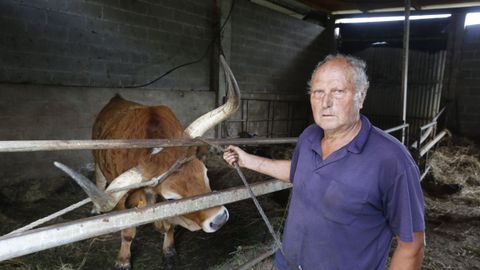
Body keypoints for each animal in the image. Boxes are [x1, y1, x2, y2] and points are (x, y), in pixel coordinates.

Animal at [89, 56, 239, 268]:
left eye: (205, 174)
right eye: (171, 198)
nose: (219, 219)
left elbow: (168, 226)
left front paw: (168, 251)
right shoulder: (122, 200)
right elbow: (128, 232)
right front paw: (123, 260)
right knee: (99, 178)